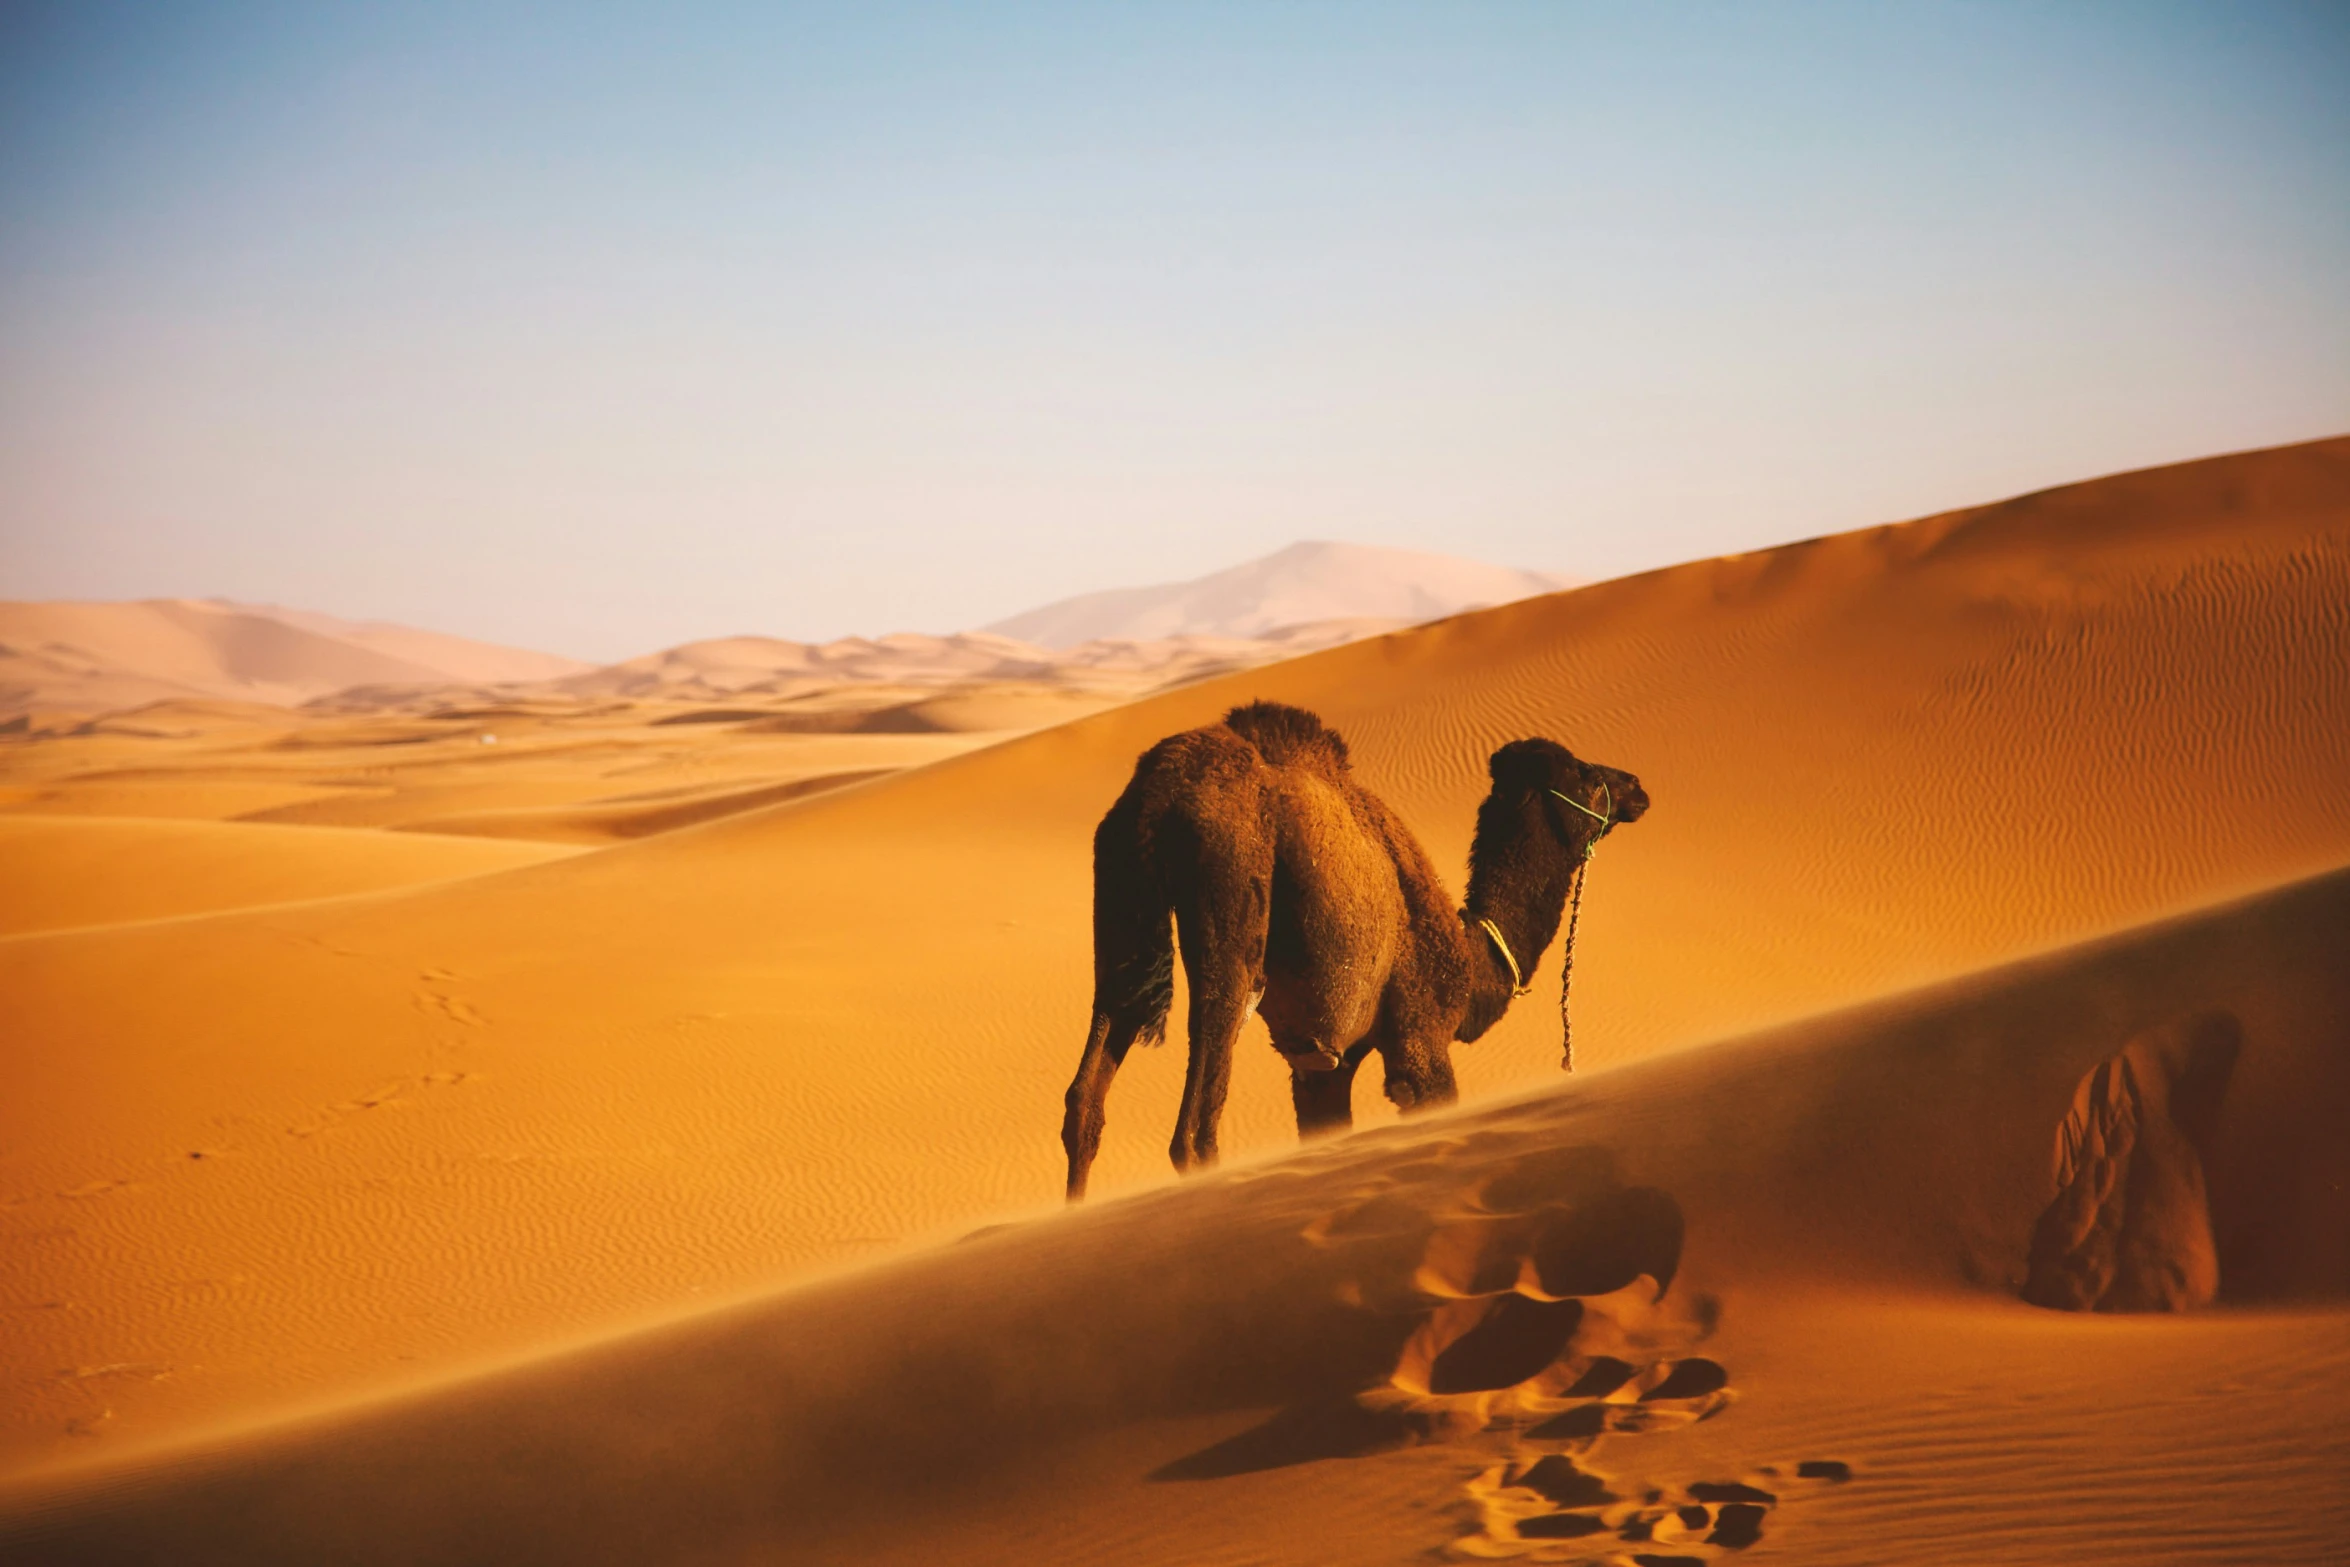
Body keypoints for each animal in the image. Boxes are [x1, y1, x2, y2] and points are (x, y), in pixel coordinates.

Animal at [1066, 700, 1654, 1202]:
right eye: (1585, 776)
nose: (1636, 786)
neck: (1469, 959)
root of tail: (1159, 789)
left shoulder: (1326, 1063)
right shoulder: (1419, 1040)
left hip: (1120, 897)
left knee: (1087, 1097)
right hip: (1229, 894)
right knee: (1195, 1129)